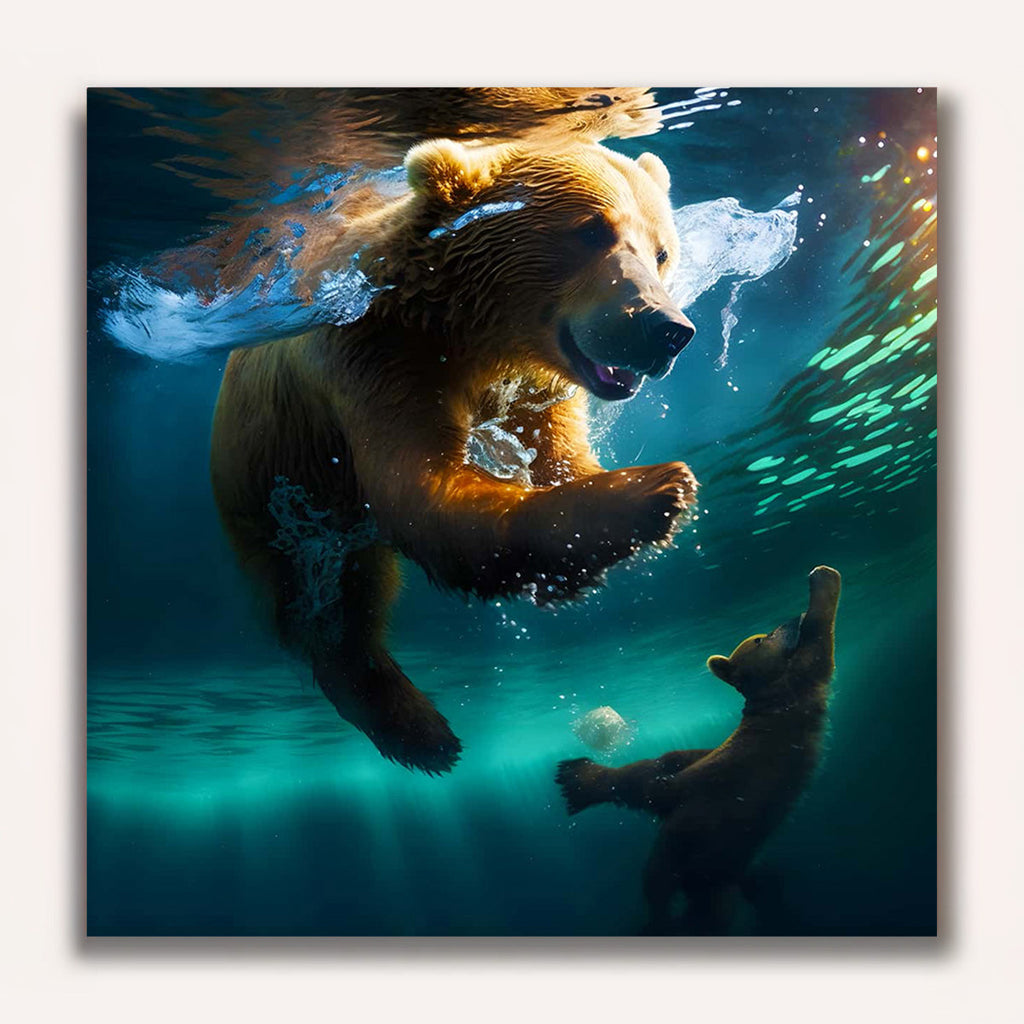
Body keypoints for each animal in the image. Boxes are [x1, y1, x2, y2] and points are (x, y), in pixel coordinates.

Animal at [210, 138, 699, 775]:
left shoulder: (535, 386)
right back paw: (420, 730)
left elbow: (560, 454)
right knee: (334, 607)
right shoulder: (377, 355)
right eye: (593, 230)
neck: (470, 332)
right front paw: (654, 491)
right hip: (274, 499)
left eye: (662, 251)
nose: (667, 329)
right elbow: (424, 492)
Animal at [555, 565, 841, 934]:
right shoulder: (794, 690)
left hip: (711, 852)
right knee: (671, 885)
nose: (790, 619)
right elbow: (819, 647)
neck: (767, 695)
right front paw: (822, 581)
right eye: (760, 637)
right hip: (697, 833)